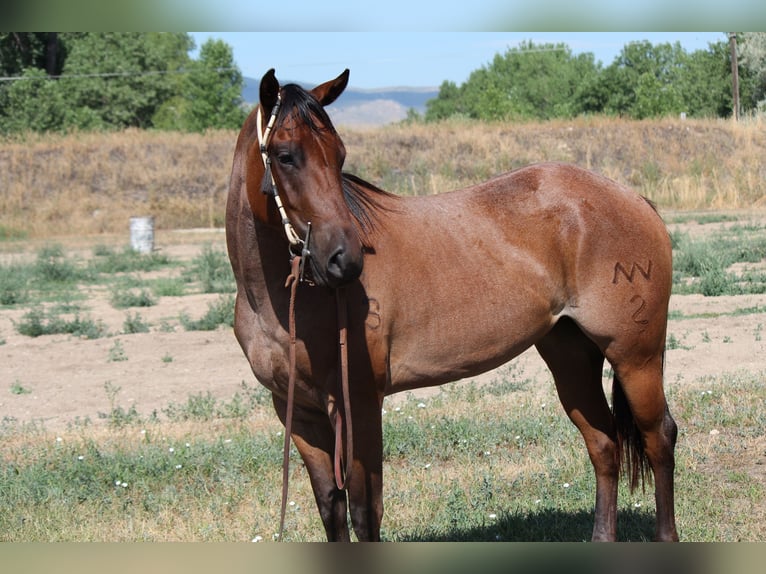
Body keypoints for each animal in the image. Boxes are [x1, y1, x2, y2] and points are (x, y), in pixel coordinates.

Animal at [225, 68, 678, 542]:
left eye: (339, 155)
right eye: (285, 156)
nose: (344, 259)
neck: (283, 304)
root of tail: (633, 199)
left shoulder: (360, 407)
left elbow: (366, 512)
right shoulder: (298, 415)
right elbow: (331, 507)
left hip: (635, 357)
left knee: (659, 438)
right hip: (570, 354)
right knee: (604, 444)